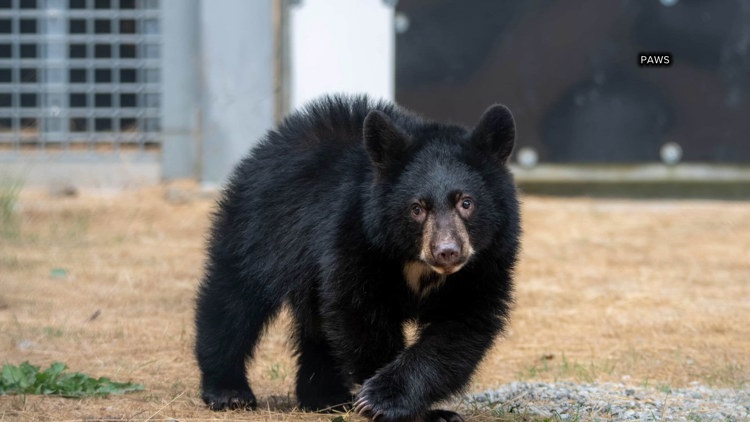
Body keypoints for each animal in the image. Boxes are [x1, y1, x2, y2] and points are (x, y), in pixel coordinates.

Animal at [194, 95, 520, 422]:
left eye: (466, 202)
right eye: (417, 208)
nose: (447, 251)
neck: (415, 261)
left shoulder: (485, 263)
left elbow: (459, 328)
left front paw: (413, 406)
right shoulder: (358, 236)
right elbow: (360, 313)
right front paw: (382, 401)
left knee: (315, 329)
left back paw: (325, 396)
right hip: (261, 227)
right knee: (235, 300)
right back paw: (228, 390)